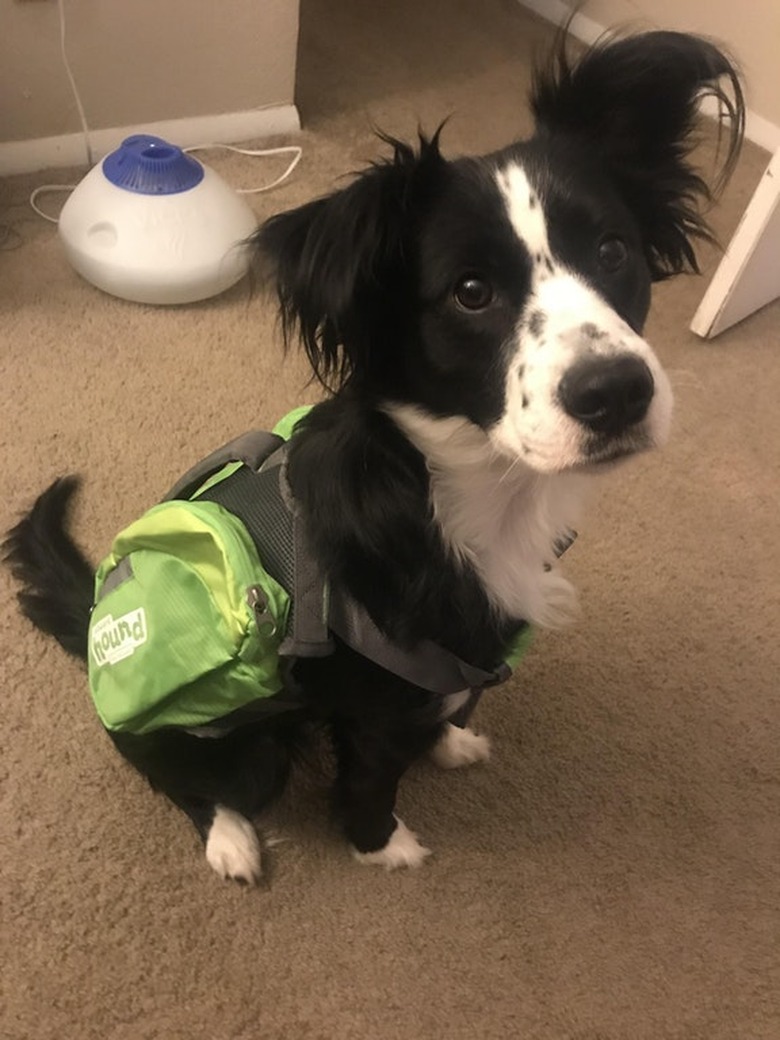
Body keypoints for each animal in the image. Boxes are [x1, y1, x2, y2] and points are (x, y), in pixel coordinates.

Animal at [4, 28, 744, 881]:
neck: (473, 492)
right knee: (186, 784)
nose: (616, 392)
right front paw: (381, 843)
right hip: (238, 749)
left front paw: (449, 742)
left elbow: (444, 710)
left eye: (613, 249)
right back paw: (230, 838)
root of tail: (100, 608)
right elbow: (372, 776)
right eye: (470, 291)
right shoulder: (376, 702)